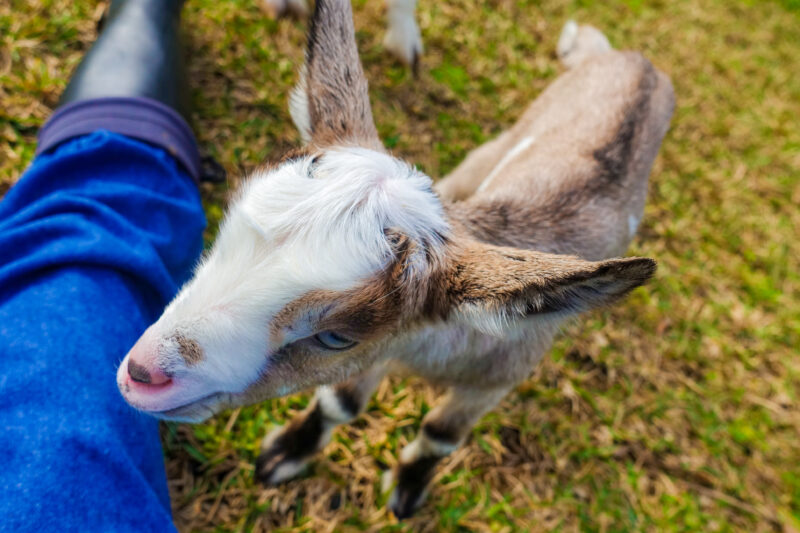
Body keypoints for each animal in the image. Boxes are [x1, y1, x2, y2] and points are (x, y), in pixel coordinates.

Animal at [115, 0, 672, 516]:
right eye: (223, 232)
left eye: (336, 337)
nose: (141, 372)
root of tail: (638, 62)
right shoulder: (388, 350)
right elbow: (342, 402)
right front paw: (286, 453)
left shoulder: (497, 373)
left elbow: (441, 434)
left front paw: (407, 487)